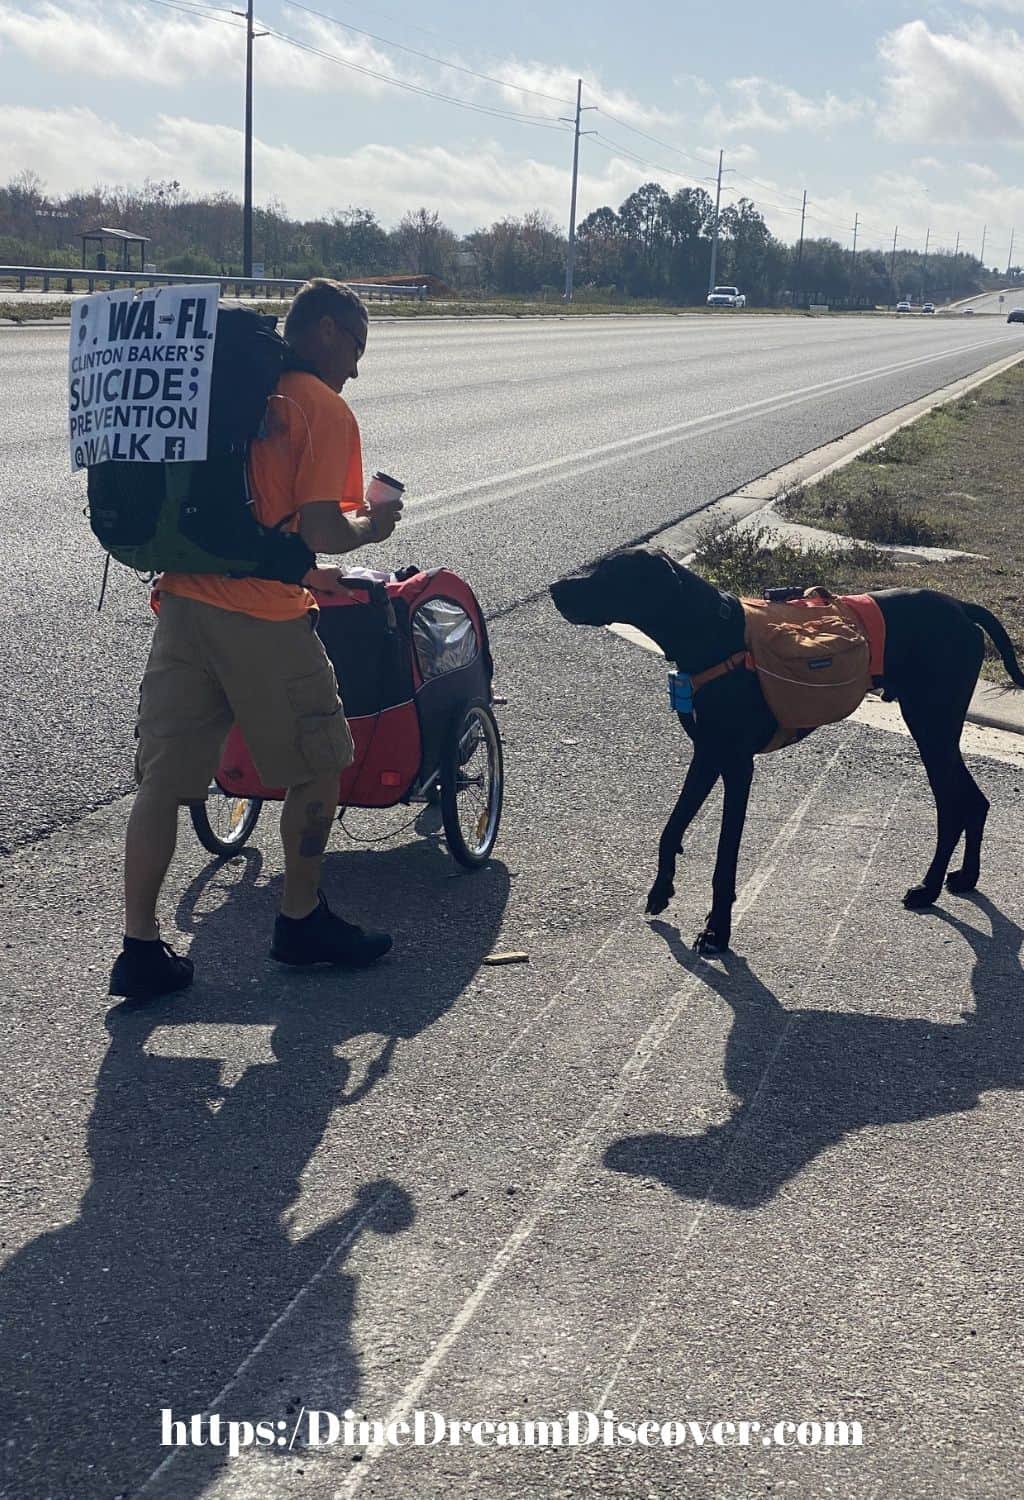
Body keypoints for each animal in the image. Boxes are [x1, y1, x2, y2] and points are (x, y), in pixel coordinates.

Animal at [551, 549, 1024, 948]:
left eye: (610, 574)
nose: (554, 587)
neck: (711, 632)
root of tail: (961, 606)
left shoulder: (737, 766)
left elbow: (724, 859)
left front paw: (717, 930)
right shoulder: (706, 754)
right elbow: (672, 828)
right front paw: (661, 888)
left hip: (931, 726)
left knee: (953, 805)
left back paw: (928, 888)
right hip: (935, 728)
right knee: (974, 801)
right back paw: (965, 876)